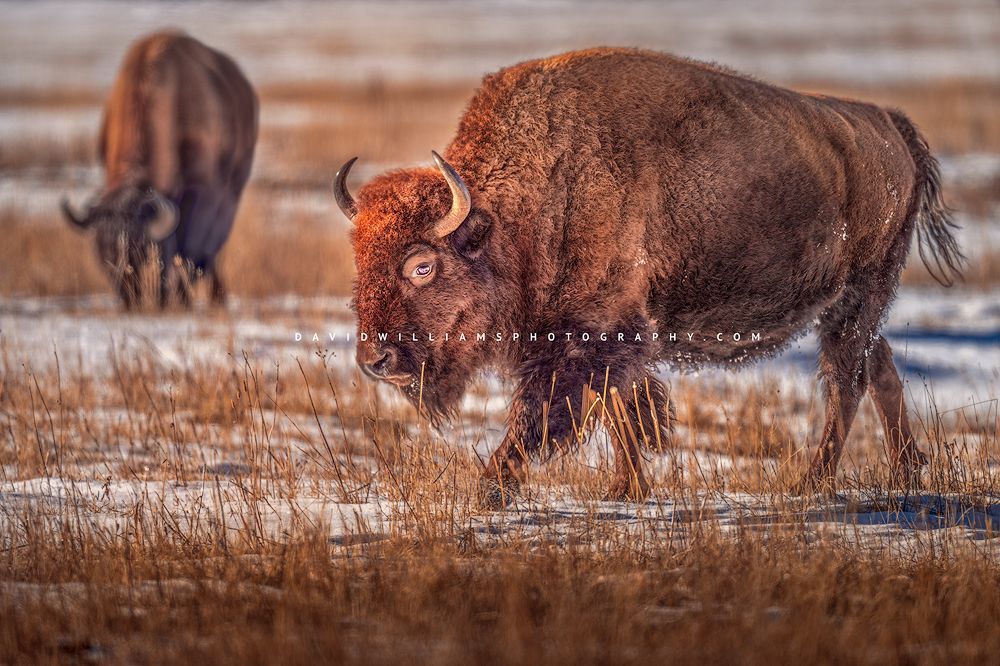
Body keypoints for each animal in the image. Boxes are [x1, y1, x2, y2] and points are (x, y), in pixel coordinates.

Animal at [61, 31, 258, 308]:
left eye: (138, 247)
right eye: (99, 250)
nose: (128, 296)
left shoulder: (197, 193)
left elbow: (184, 248)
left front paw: (175, 298)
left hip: (232, 191)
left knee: (212, 248)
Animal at [335, 48, 963, 507]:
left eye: (423, 265)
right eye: (358, 258)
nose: (375, 360)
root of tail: (890, 126)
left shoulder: (592, 336)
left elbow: (548, 412)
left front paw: (489, 487)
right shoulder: (613, 340)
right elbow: (622, 411)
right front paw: (626, 488)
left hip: (860, 294)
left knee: (846, 381)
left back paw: (812, 483)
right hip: (850, 305)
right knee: (878, 367)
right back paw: (906, 474)